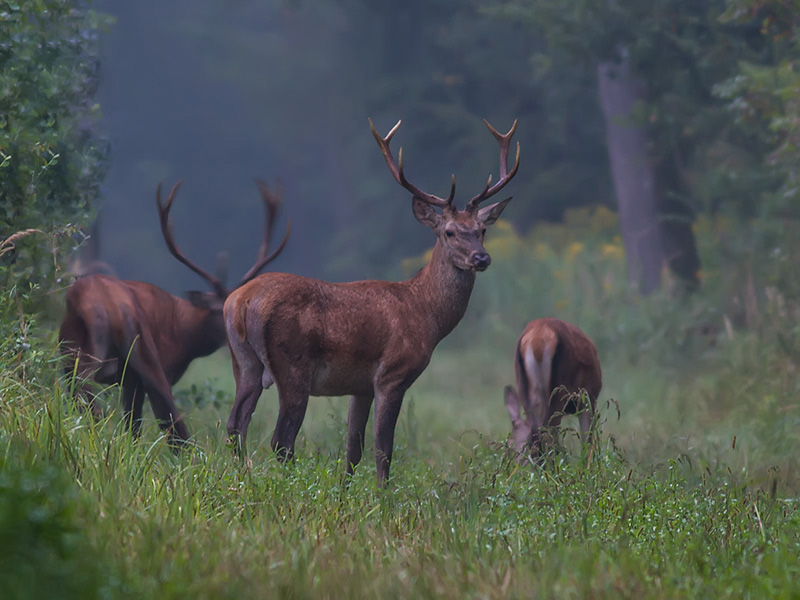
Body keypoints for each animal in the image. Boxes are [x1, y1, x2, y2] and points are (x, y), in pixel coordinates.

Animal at [59, 179, 290, 446]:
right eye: (218, 311)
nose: (236, 339)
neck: (184, 335)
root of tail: (97, 306)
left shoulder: (129, 381)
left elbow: (132, 426)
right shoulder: (153, 371)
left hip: (70, 352)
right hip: (142, 354)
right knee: (173, 425)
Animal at [225, 118, 520, 482]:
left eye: (482, 230)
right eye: (449, 232)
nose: (482, 258)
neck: (426, 315)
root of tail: (240, 302)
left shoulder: (360, 385)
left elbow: (353, 448)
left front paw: (345, 490)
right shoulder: (392, 373)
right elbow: (383, 447)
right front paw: (383, 493)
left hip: (244, 362)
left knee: (235, 425)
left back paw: (242, 478)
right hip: (292, 364)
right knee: (281, 439)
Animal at [504, 316, 604, 458]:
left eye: (508, 447)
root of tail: (537, 341)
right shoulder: (588, 399)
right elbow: (587, 442)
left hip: (523, 388)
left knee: (537, 434)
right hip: (559, 391)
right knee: (548, 436)